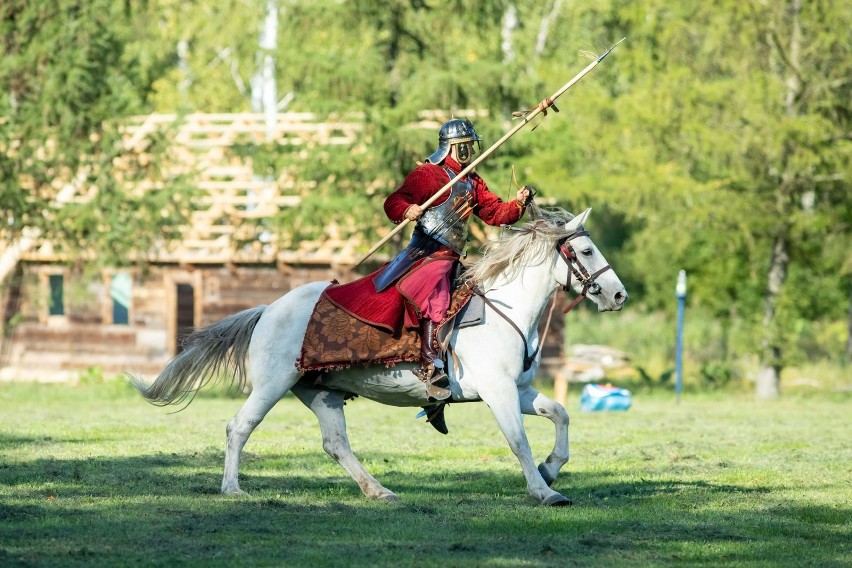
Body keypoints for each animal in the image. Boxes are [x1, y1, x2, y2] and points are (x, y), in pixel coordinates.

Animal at [131, 207, 624, 506]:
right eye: (585, 250)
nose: (619, 294)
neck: (506, 307)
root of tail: (268, 310)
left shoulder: (519, 391)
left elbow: (560, 413)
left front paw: (551, 469)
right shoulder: (498, 392)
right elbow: (518, 440)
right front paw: (544, 491)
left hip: (321, 393)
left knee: (335, 444)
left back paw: (378, 490)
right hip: (273, 385)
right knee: (239, 427)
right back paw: (232, 488)